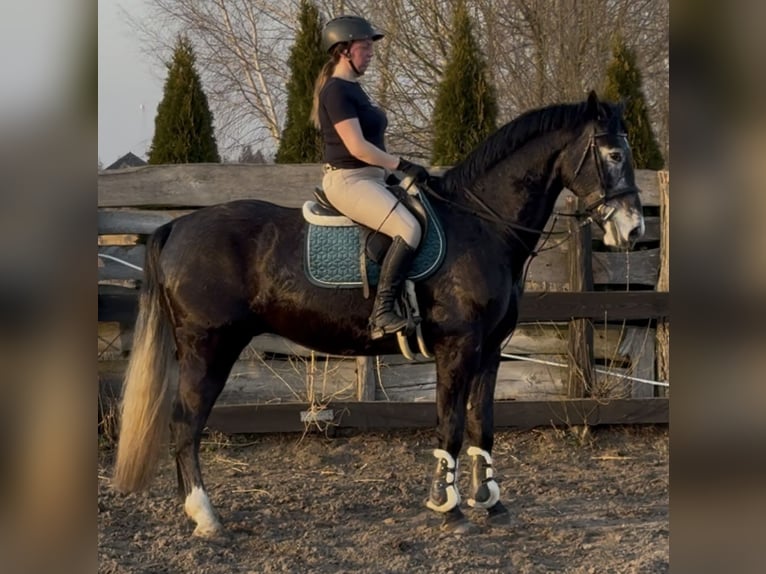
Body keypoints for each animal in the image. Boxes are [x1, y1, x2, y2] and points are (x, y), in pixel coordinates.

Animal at [111, 90, 644, 536]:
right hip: (208, 348)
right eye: (614, 155)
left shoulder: (490, 350)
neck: (481, 224)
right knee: (186, 424)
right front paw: (447, 508)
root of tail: (177, 225)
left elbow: (482, 423)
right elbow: (450, 424)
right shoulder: (457, 347)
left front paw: (490, 503)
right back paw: (205, 516)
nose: (634, 230)